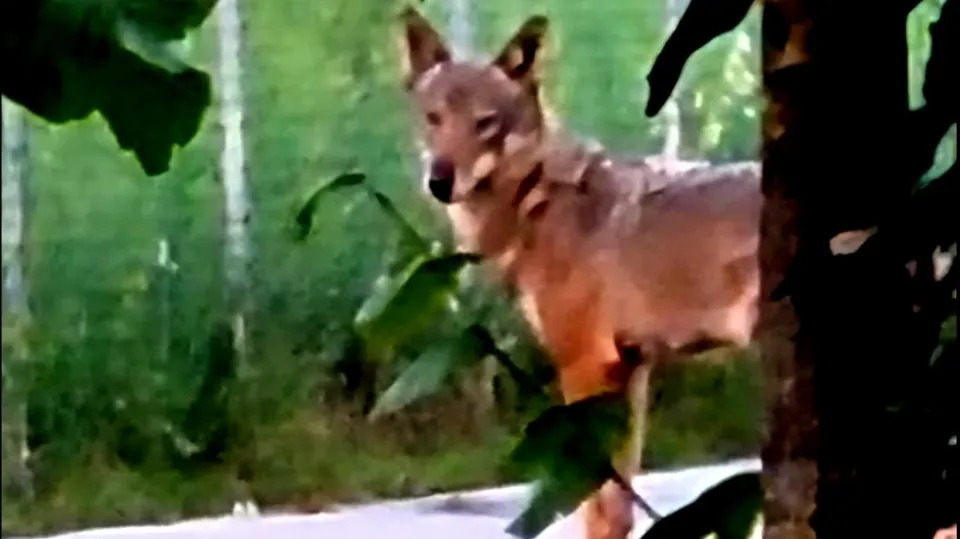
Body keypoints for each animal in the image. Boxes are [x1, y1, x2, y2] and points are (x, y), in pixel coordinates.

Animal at [399, 7, 762, 539]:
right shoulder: (630, 370)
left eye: (486, 124)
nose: (439, 181)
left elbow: (595, 506)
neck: (539, 202)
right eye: (434, 119)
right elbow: (618, 509)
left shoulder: (586, 366)